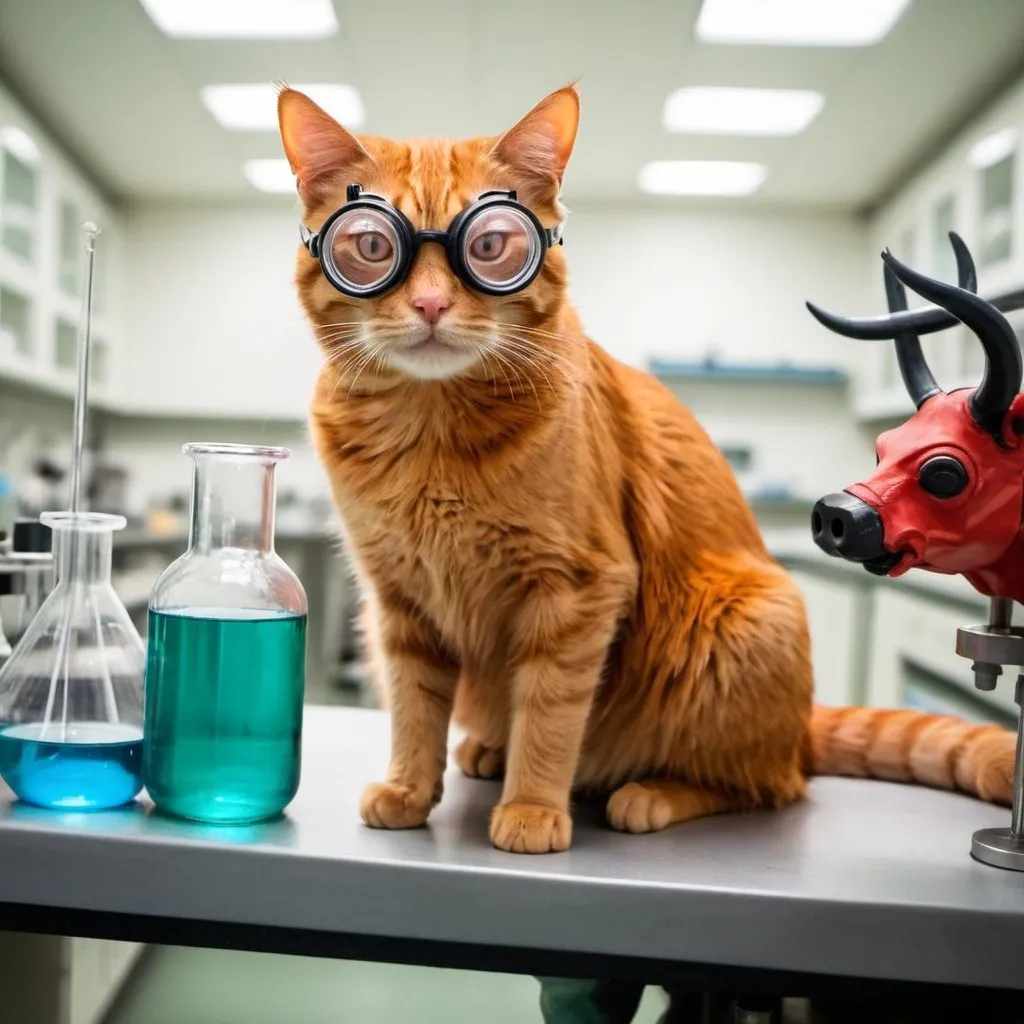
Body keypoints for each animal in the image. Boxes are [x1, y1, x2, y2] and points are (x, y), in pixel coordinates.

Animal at [274, 83, 1015, 851]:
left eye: (488, 245)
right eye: (371, 245)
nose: (429, 304)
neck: (430, 436)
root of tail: (799, 731)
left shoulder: (578, 589)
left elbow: (549, 712)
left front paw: (533, 807)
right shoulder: (397, 603)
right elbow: (414, 711)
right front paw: (410, 790)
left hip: (748, 623)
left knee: (768, 785)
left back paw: (651, 794)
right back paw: (487, 750)